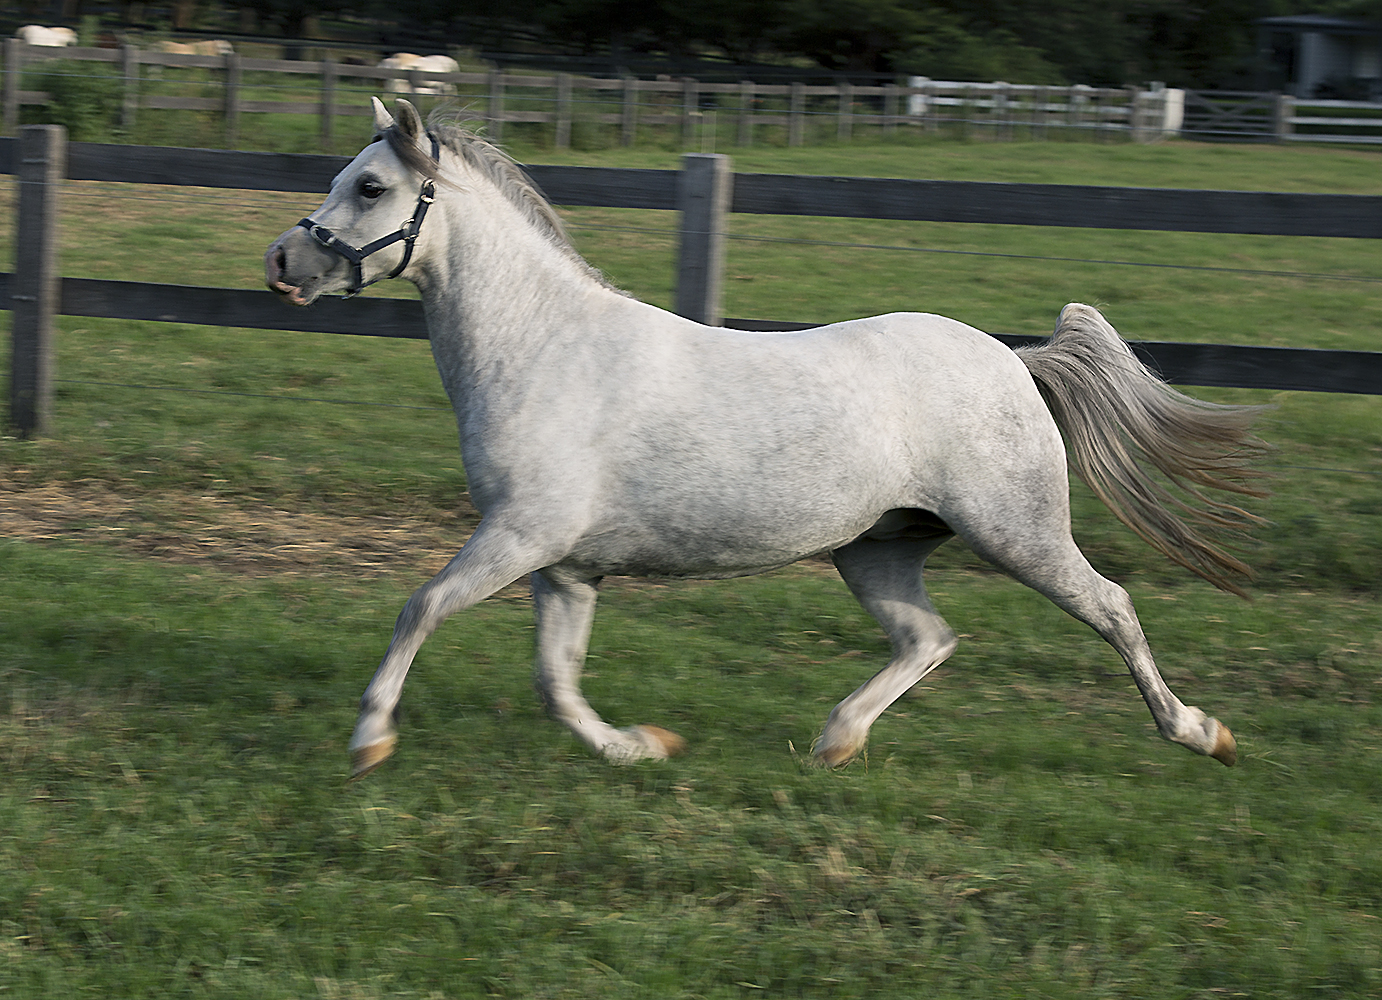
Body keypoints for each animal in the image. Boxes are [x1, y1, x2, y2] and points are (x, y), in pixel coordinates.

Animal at [265, 98, 1267, 778]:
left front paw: (370, 739)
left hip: (1019, 533)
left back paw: (1202, 732)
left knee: (1112, 607)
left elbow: (421, 607)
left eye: (370, 186)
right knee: (928, 638)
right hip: (876, 550)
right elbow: (557, 679)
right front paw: (640, 747)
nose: (282, 260)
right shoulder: (567, 567)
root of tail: (1015, 360)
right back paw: (836, 741)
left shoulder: (520, 538)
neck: (546, 351)